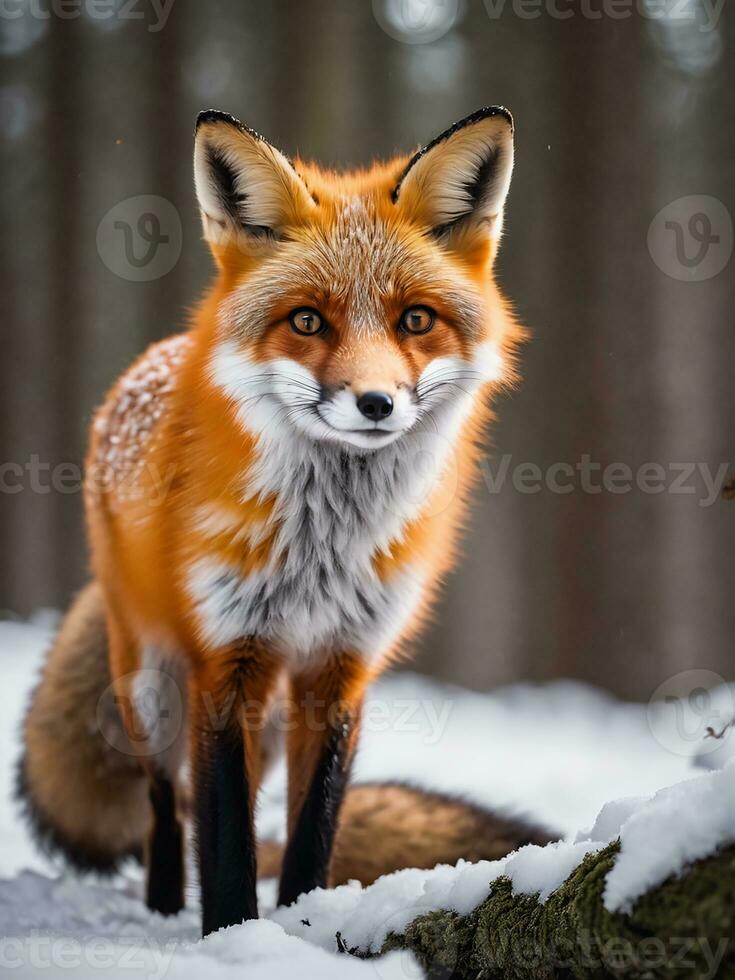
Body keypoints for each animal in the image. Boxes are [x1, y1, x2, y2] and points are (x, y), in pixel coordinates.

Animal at [24, 107, 528, 936]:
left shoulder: (339, 669)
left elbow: (310, 831)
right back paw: (165, 913)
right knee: (167, 810)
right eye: (307, 321)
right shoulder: (226, 660)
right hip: (152, 686)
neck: (325, 545)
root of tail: (154, 360)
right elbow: (225, 841)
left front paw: (302, 926)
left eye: (415, 319)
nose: (376, 403)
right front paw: (231, 935)